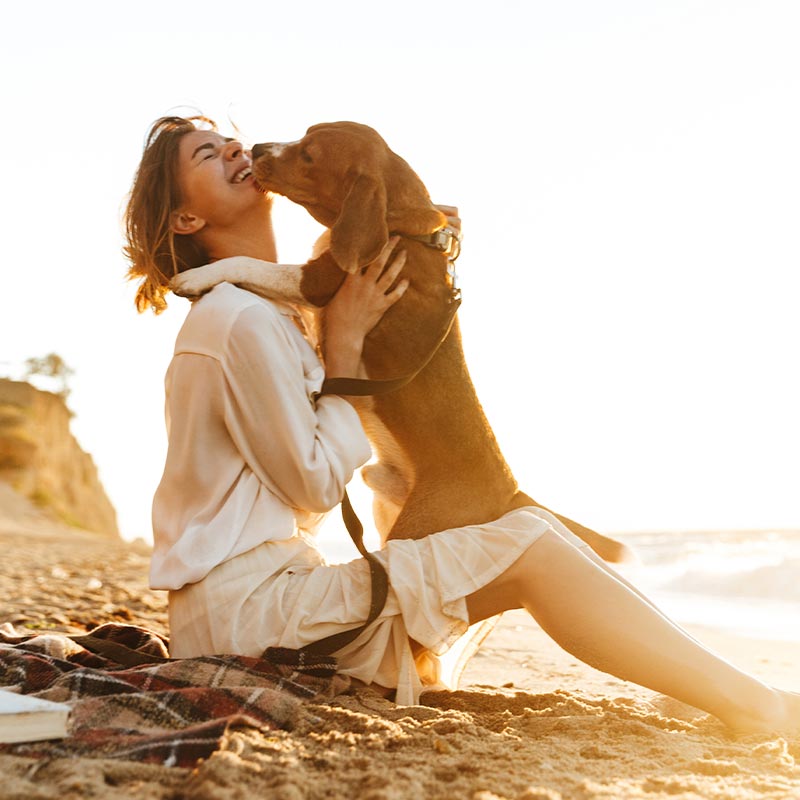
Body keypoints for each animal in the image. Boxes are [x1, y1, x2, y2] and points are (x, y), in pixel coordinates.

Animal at [172, 122, 628, 560]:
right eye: (304, 134)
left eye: (309, 156)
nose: (257, 148)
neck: (406, 231)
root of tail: (510, 492)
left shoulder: (315, 282)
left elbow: (246, 263)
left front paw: (194, 276)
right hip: (382, 501)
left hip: (416, 526)